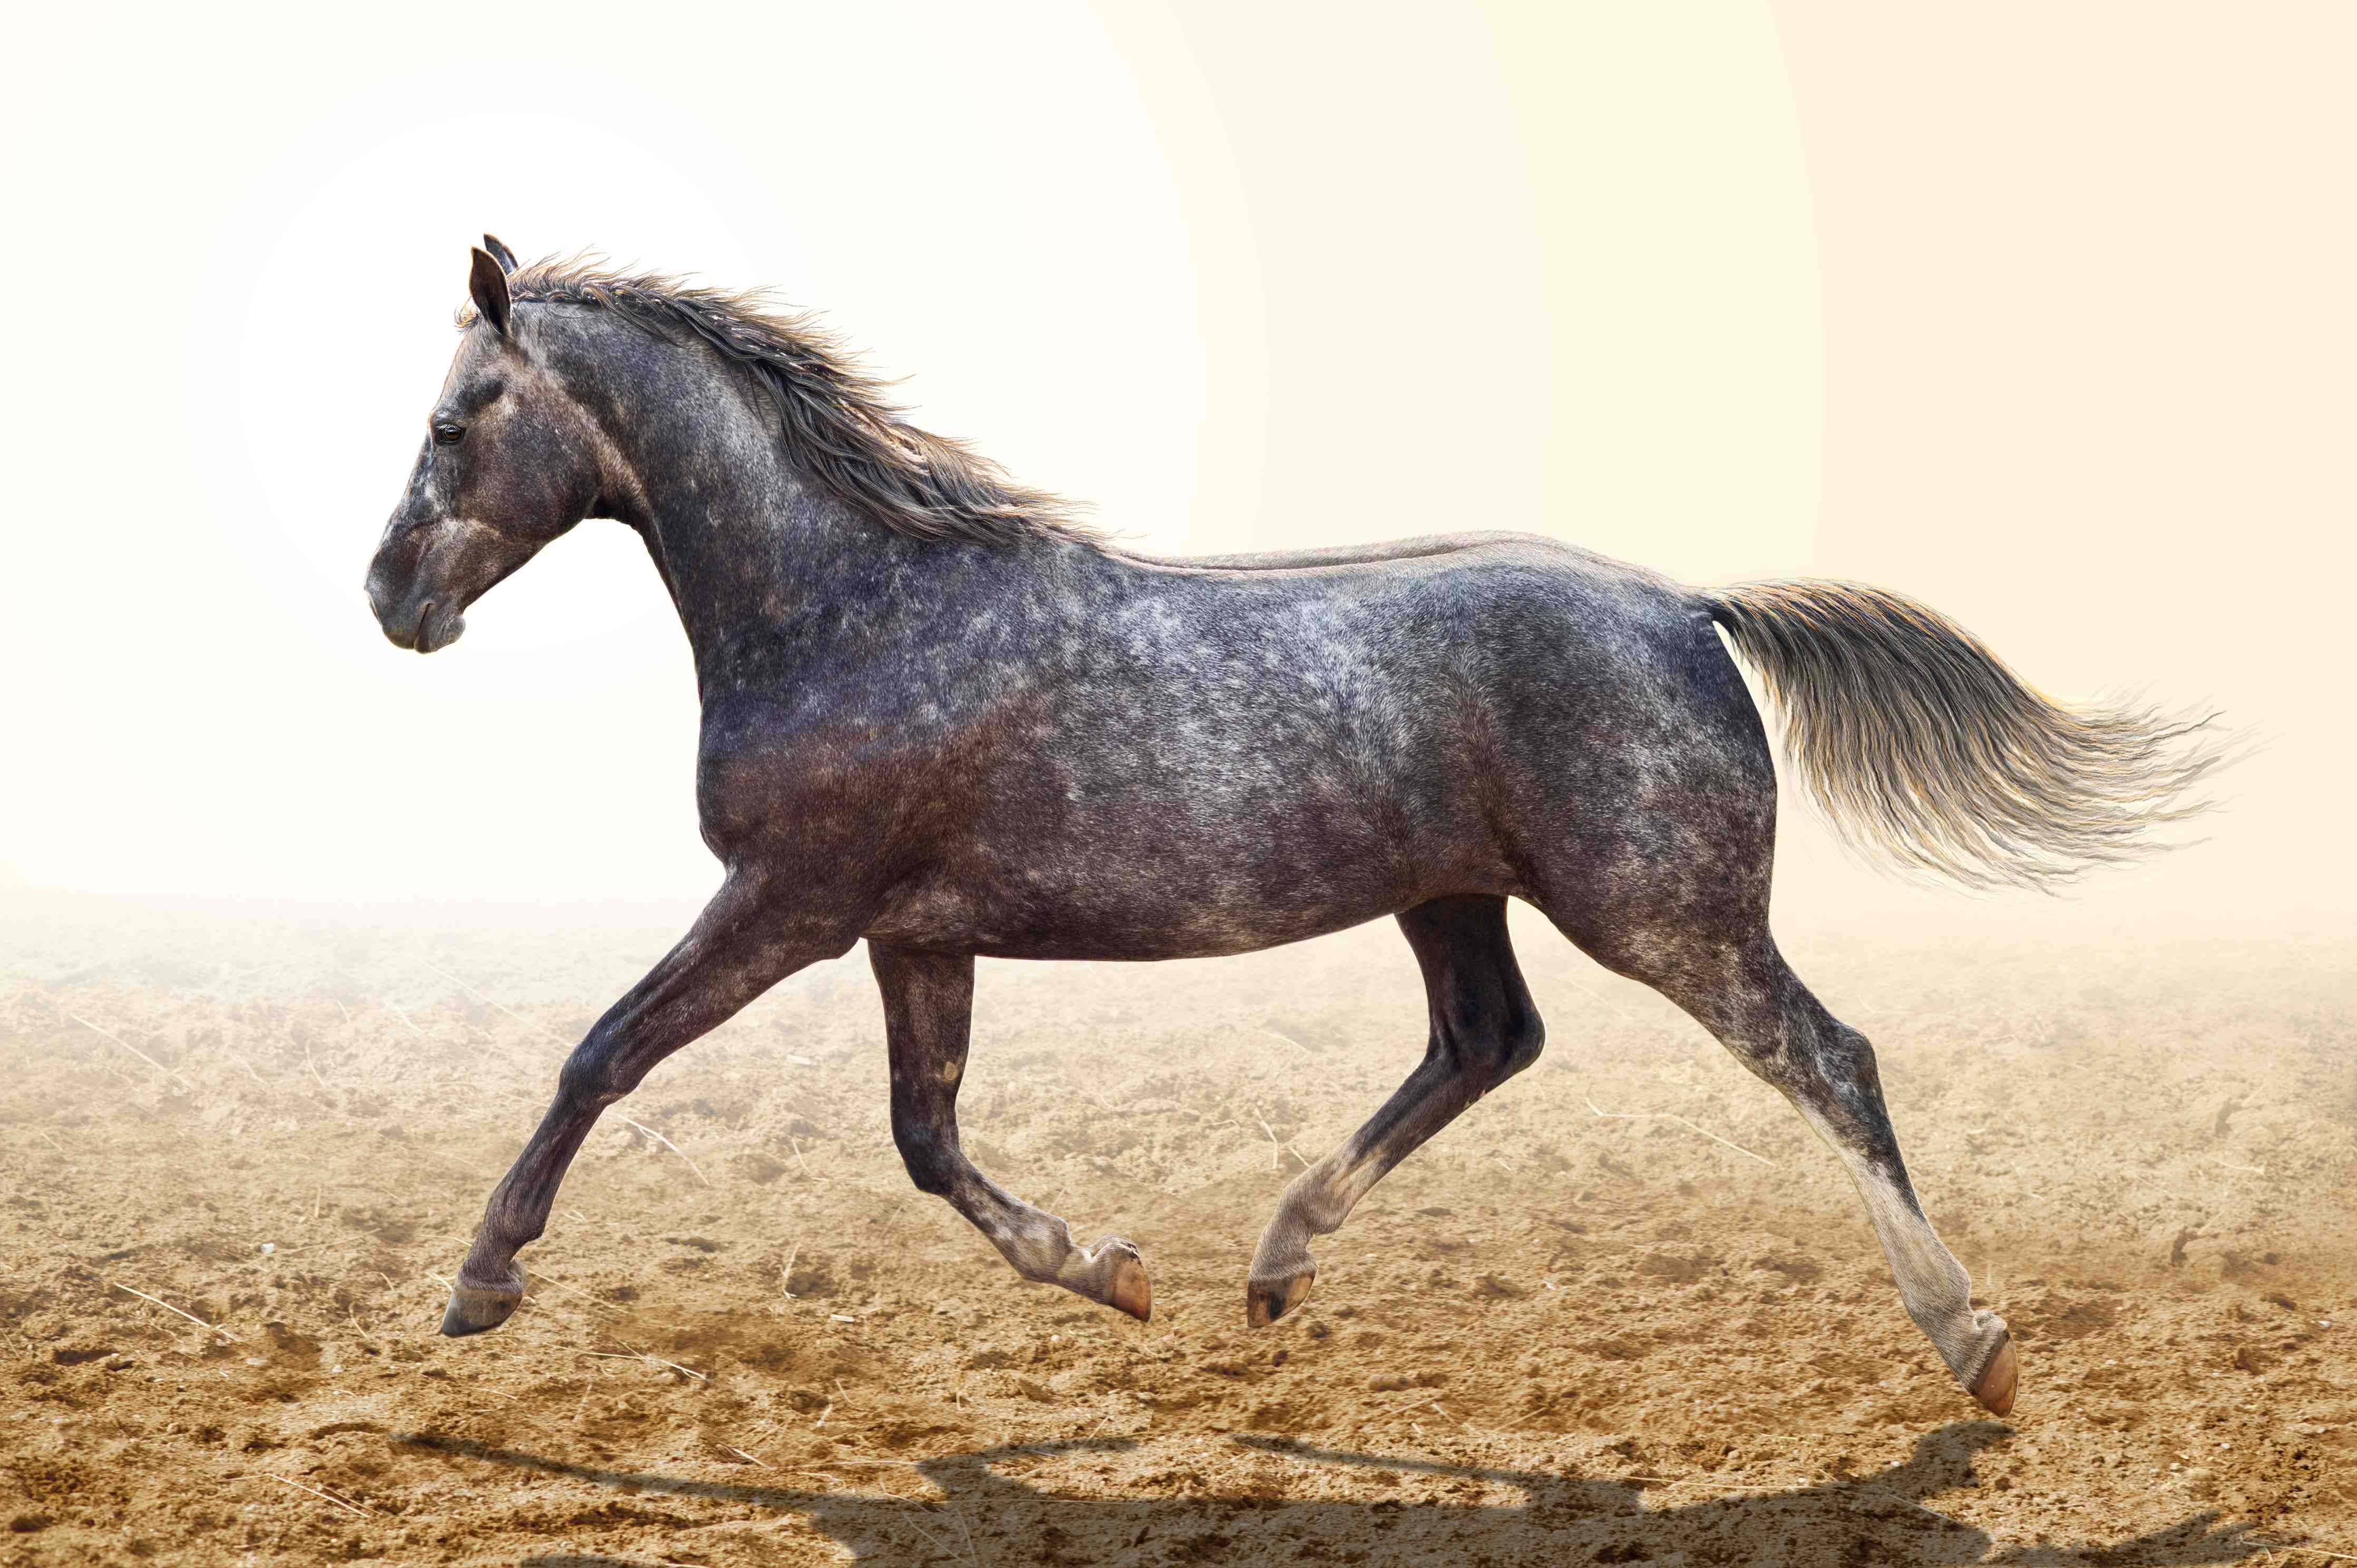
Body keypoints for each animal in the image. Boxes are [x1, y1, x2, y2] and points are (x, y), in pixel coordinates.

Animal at [364, 239, 2226, 1418]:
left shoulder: (790, 899)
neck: (855, 606)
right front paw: (1114, 1271)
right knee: (1486, 1039)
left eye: (452, 418)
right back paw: (1271, 1266)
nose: (391, 599)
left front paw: (479, 1279)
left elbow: (603, 1052)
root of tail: (1686, 607)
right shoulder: (914, 927)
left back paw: (1973, 1340)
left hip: (1664, 910)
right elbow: (923, 1135)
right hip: (1455, 894)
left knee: (1822, 1056)